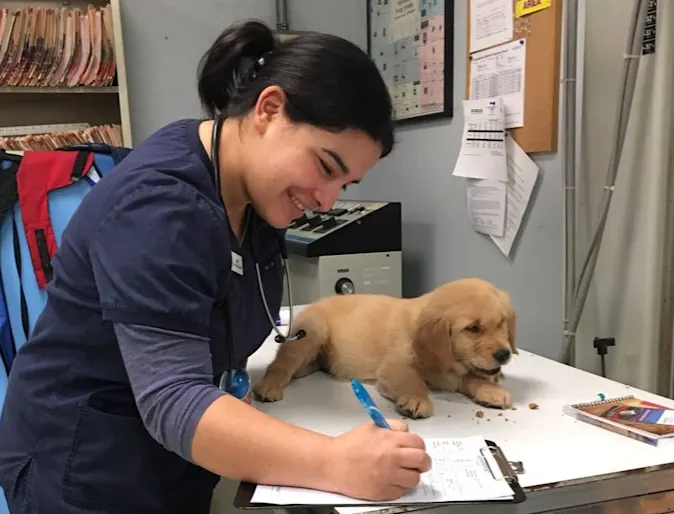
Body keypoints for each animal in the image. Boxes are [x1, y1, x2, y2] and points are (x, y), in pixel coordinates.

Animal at [252, 276, 516, 416]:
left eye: (501, 323)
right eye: (473, 328)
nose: (504, 354)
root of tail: (313, 303)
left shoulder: (453, 373)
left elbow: (471, 377)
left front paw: (491, 389)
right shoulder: (394, 367)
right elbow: (412, 380)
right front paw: (416, 399)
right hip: (311, 333)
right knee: (280, 365)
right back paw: (268, 387)